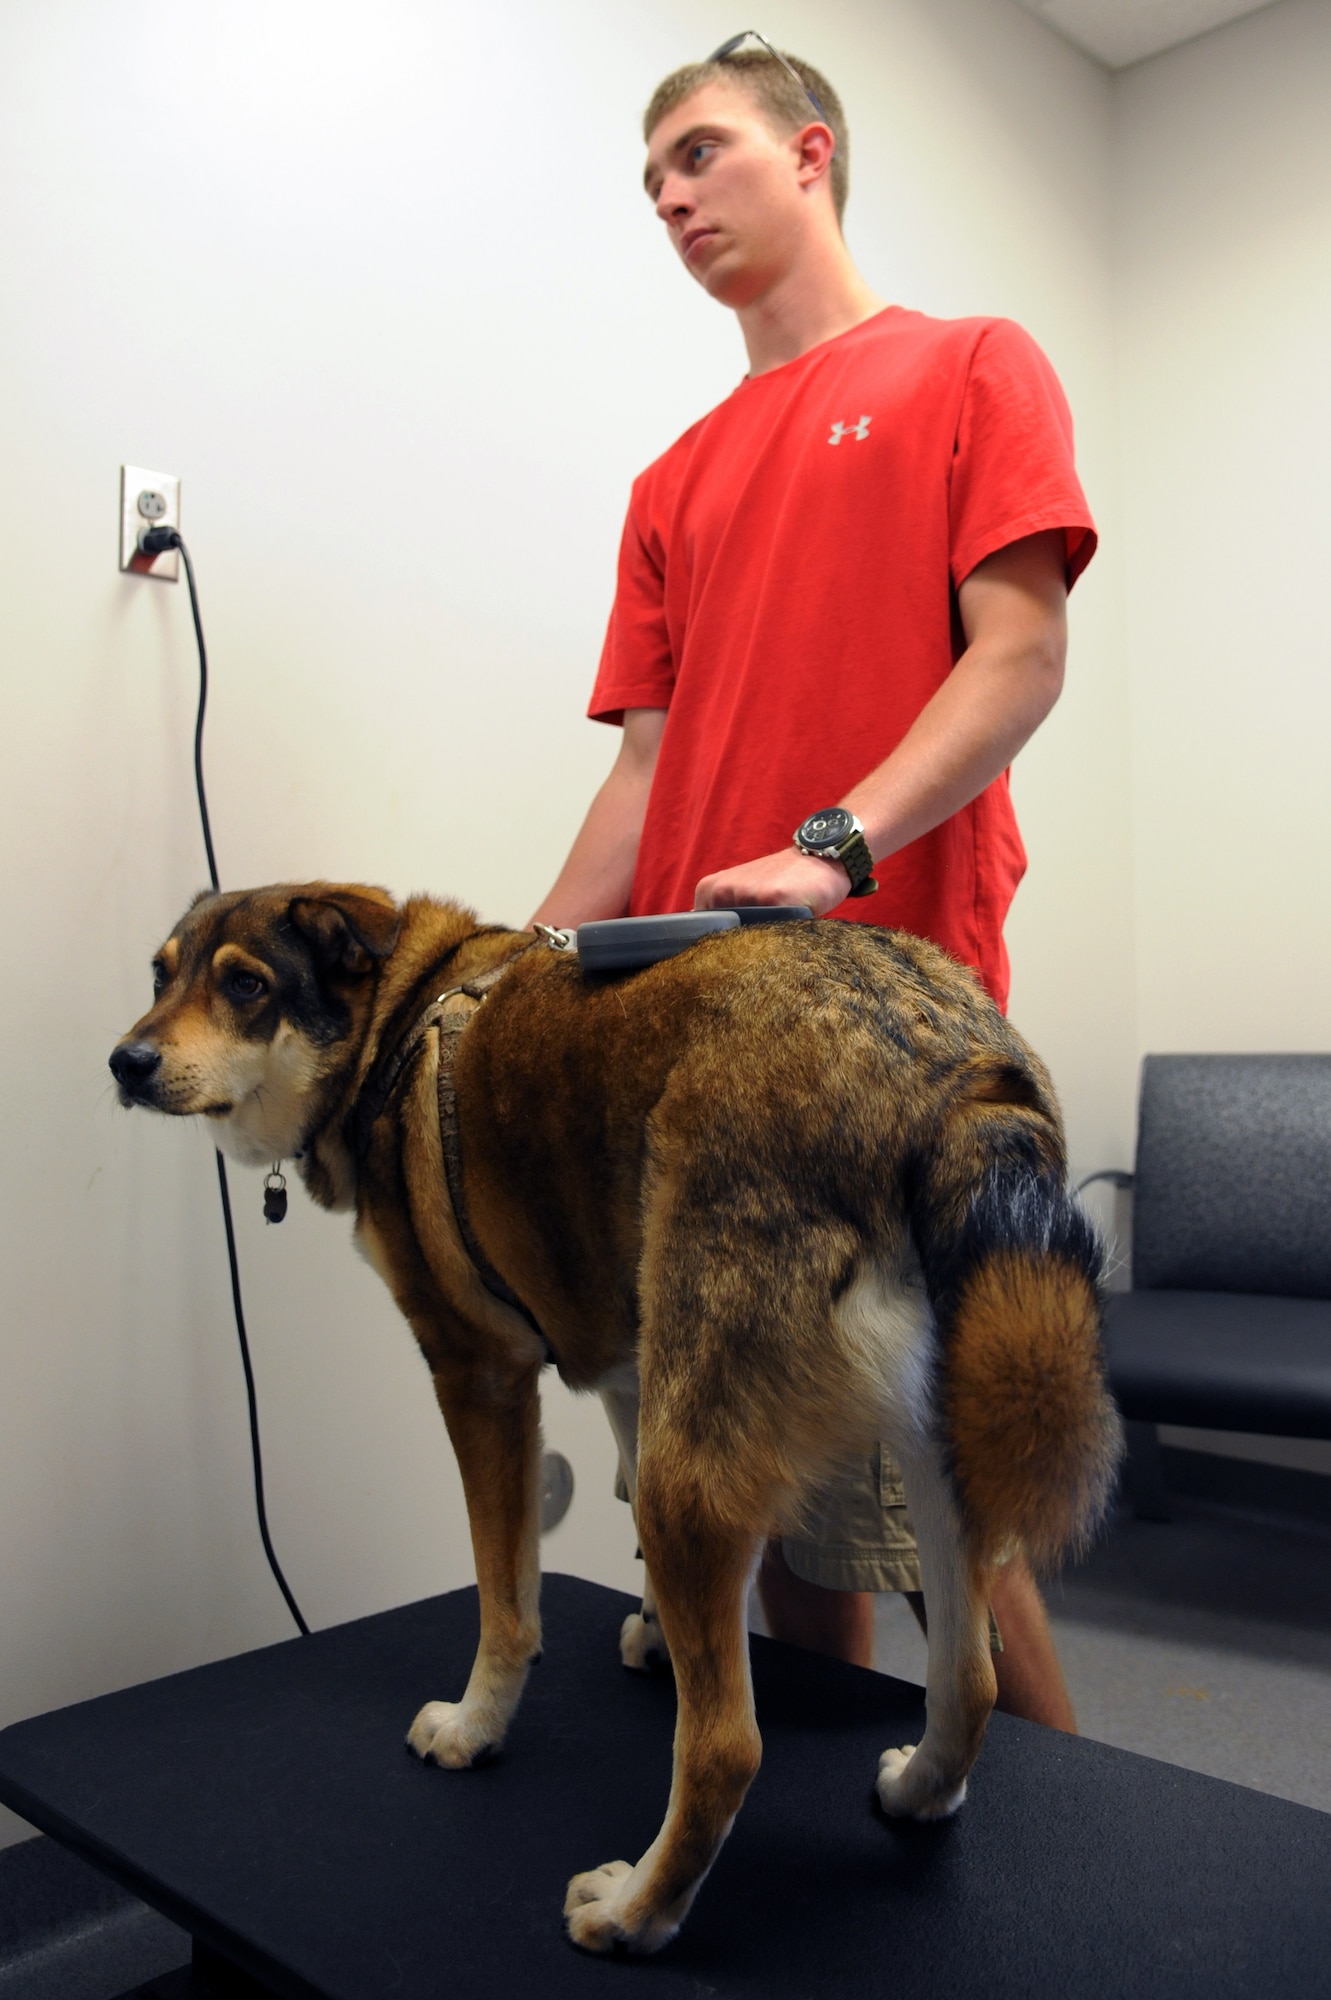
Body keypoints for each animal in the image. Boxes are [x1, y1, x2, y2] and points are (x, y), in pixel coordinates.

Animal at [108, 888, 1111, 1952]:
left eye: (246, 984)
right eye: (160, 975)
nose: (124, 1062)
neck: (398, 1018)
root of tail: (942, 1061)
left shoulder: (481, 1379)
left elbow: (505, 1600)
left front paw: (474, 1727)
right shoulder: (633, 1376)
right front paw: (657, 1634)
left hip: (696, 1470)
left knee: (725, 1747)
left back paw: (634, 1913)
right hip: (924, 1450)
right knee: (971, 1678)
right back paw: (918, 1791)